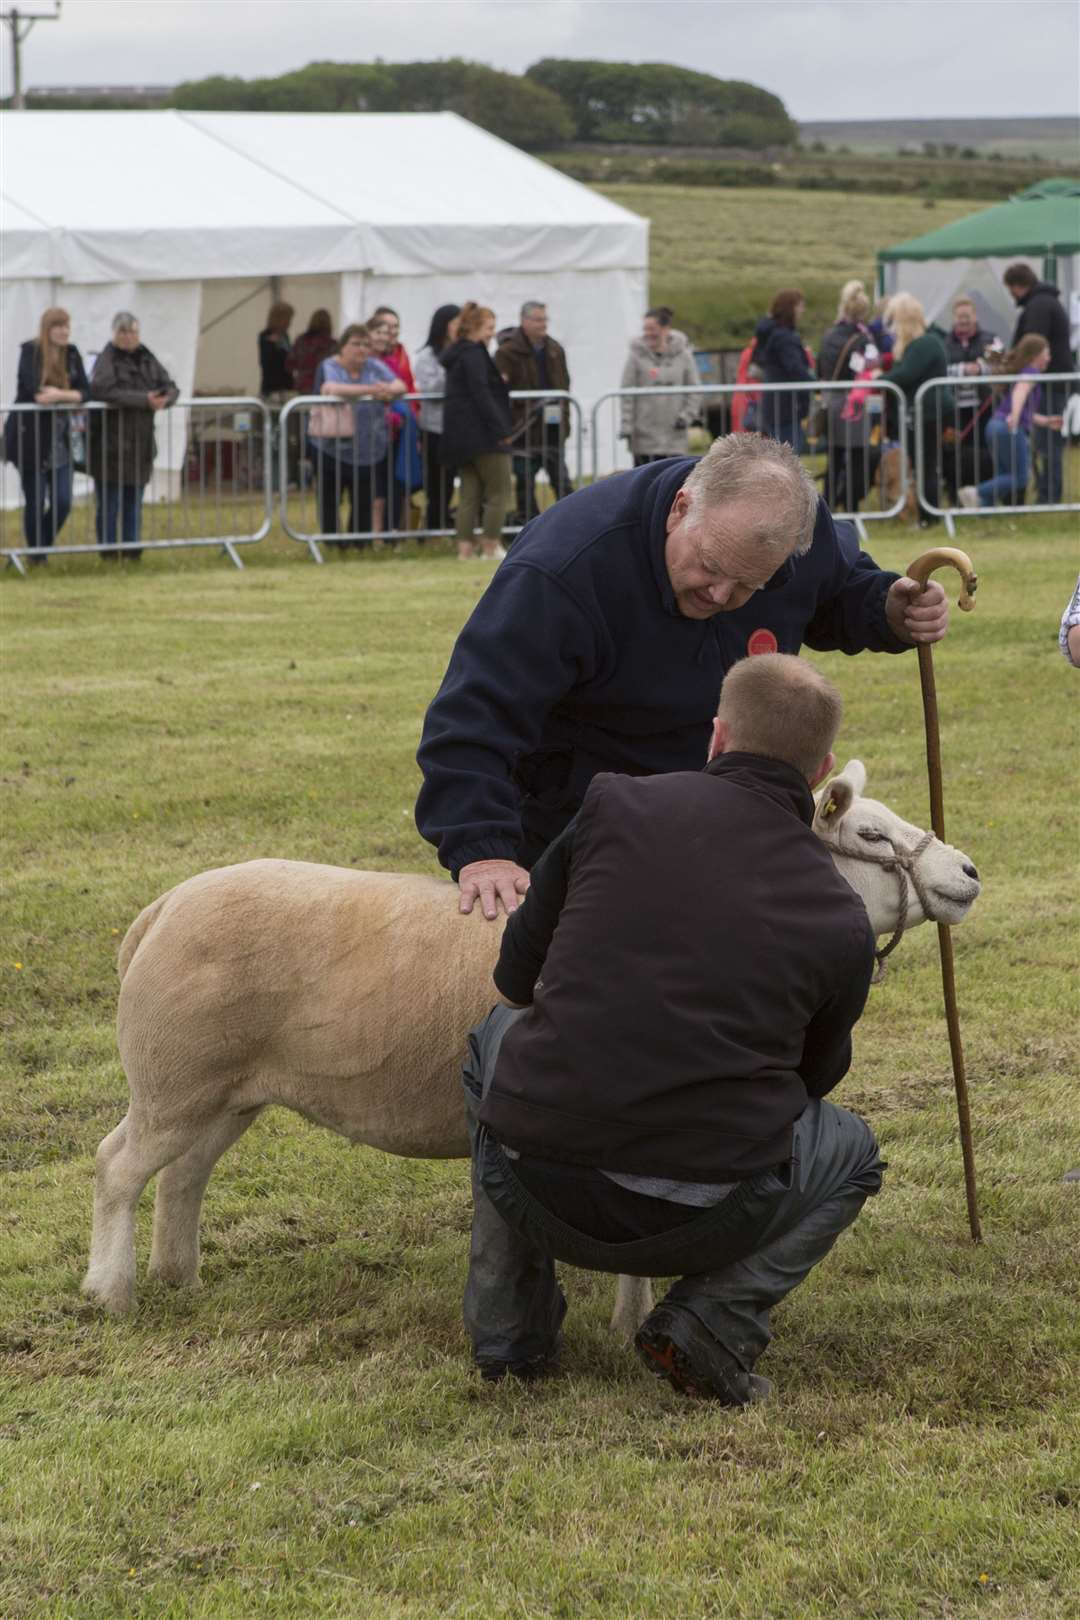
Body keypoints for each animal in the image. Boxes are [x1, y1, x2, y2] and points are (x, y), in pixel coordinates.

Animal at [84, 758, 977, 1328]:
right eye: (870, 832)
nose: (967, 873)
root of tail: (158, 911)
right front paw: (631, 1324)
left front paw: (626, 1319)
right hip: (173, 1078)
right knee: (118, 1167)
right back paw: (113, 1293)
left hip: (227, 1088)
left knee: (184, 1176)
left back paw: (180, 1279)